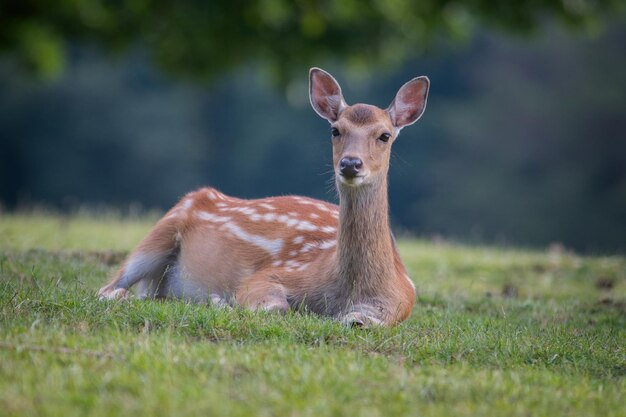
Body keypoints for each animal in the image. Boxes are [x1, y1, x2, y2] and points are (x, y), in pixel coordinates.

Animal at [98, 67, 428, 324]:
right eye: (335, 130)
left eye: (384, 135)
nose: (350, 163)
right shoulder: (273, 274)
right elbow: (274, 307)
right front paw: (222, 301)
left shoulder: (399, 303)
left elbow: (360, 320)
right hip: (159, 232)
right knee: (106, 289)